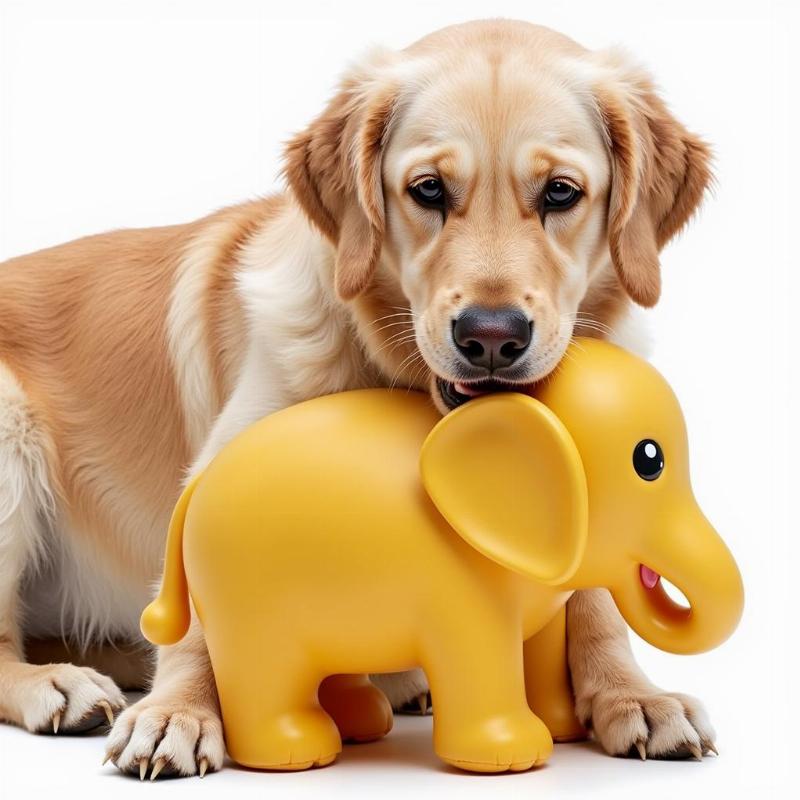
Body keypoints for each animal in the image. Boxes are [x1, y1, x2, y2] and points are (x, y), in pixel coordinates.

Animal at [0, 20, 712, 776]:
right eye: (428, 189)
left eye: (560, 193)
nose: (491, 337)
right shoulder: (218, 469)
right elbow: (198, 605)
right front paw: (179, 713)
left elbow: (597, 597)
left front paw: (633, 696)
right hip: (10, 439)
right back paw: (65, 686)